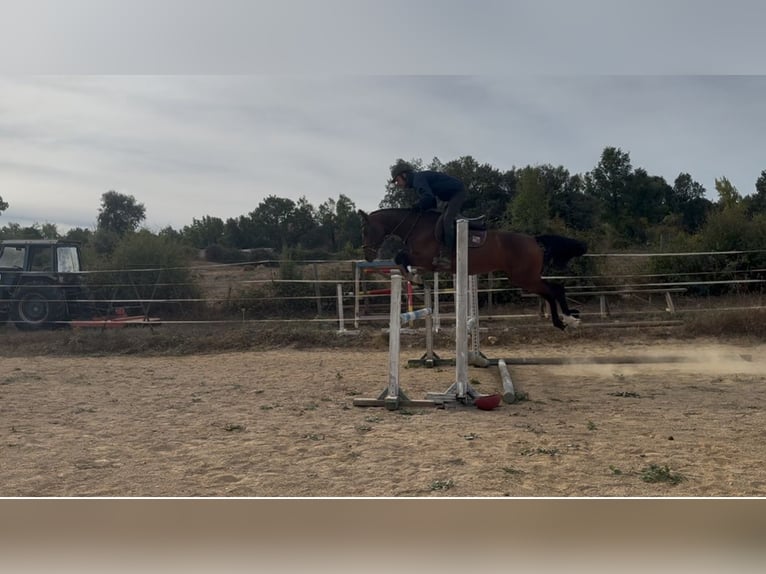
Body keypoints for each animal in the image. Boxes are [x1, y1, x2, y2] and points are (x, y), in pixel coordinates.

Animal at [358, 208, 587, 331]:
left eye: (365, 230)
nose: (367, 255)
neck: (418, 227)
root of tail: (533, 240)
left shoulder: (426, 258)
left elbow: (400, 257)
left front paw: (412, 278)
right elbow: (402, 259)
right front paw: (415, 278)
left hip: (525, 278)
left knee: (555, 290)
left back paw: (567, 318)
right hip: (525, 278)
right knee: (552, 291)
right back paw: (566, 319)